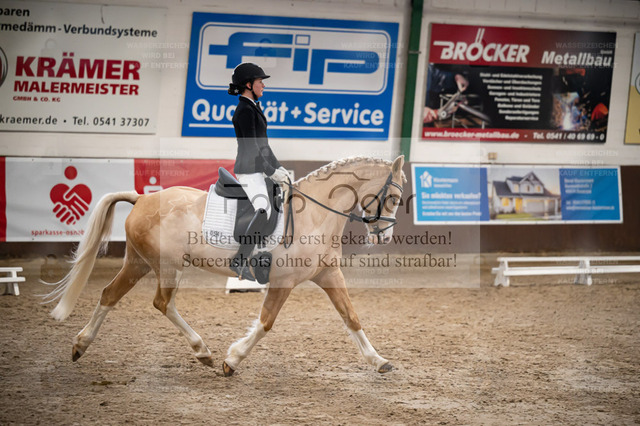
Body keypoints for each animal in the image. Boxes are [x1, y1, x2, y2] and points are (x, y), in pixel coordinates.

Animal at [44, 155, 405, 376]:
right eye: (393, 198)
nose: (384, 236)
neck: (316, 215)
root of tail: (142, 198)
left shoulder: (329, 273)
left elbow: (351, 317)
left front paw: (379, 361)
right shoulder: (283, 281)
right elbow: (266, 323)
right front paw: (232, 359)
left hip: (139, 263)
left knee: (110, 294)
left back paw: (80, 345)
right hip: (168, 265)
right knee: (162, 302)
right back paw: (202, 350)